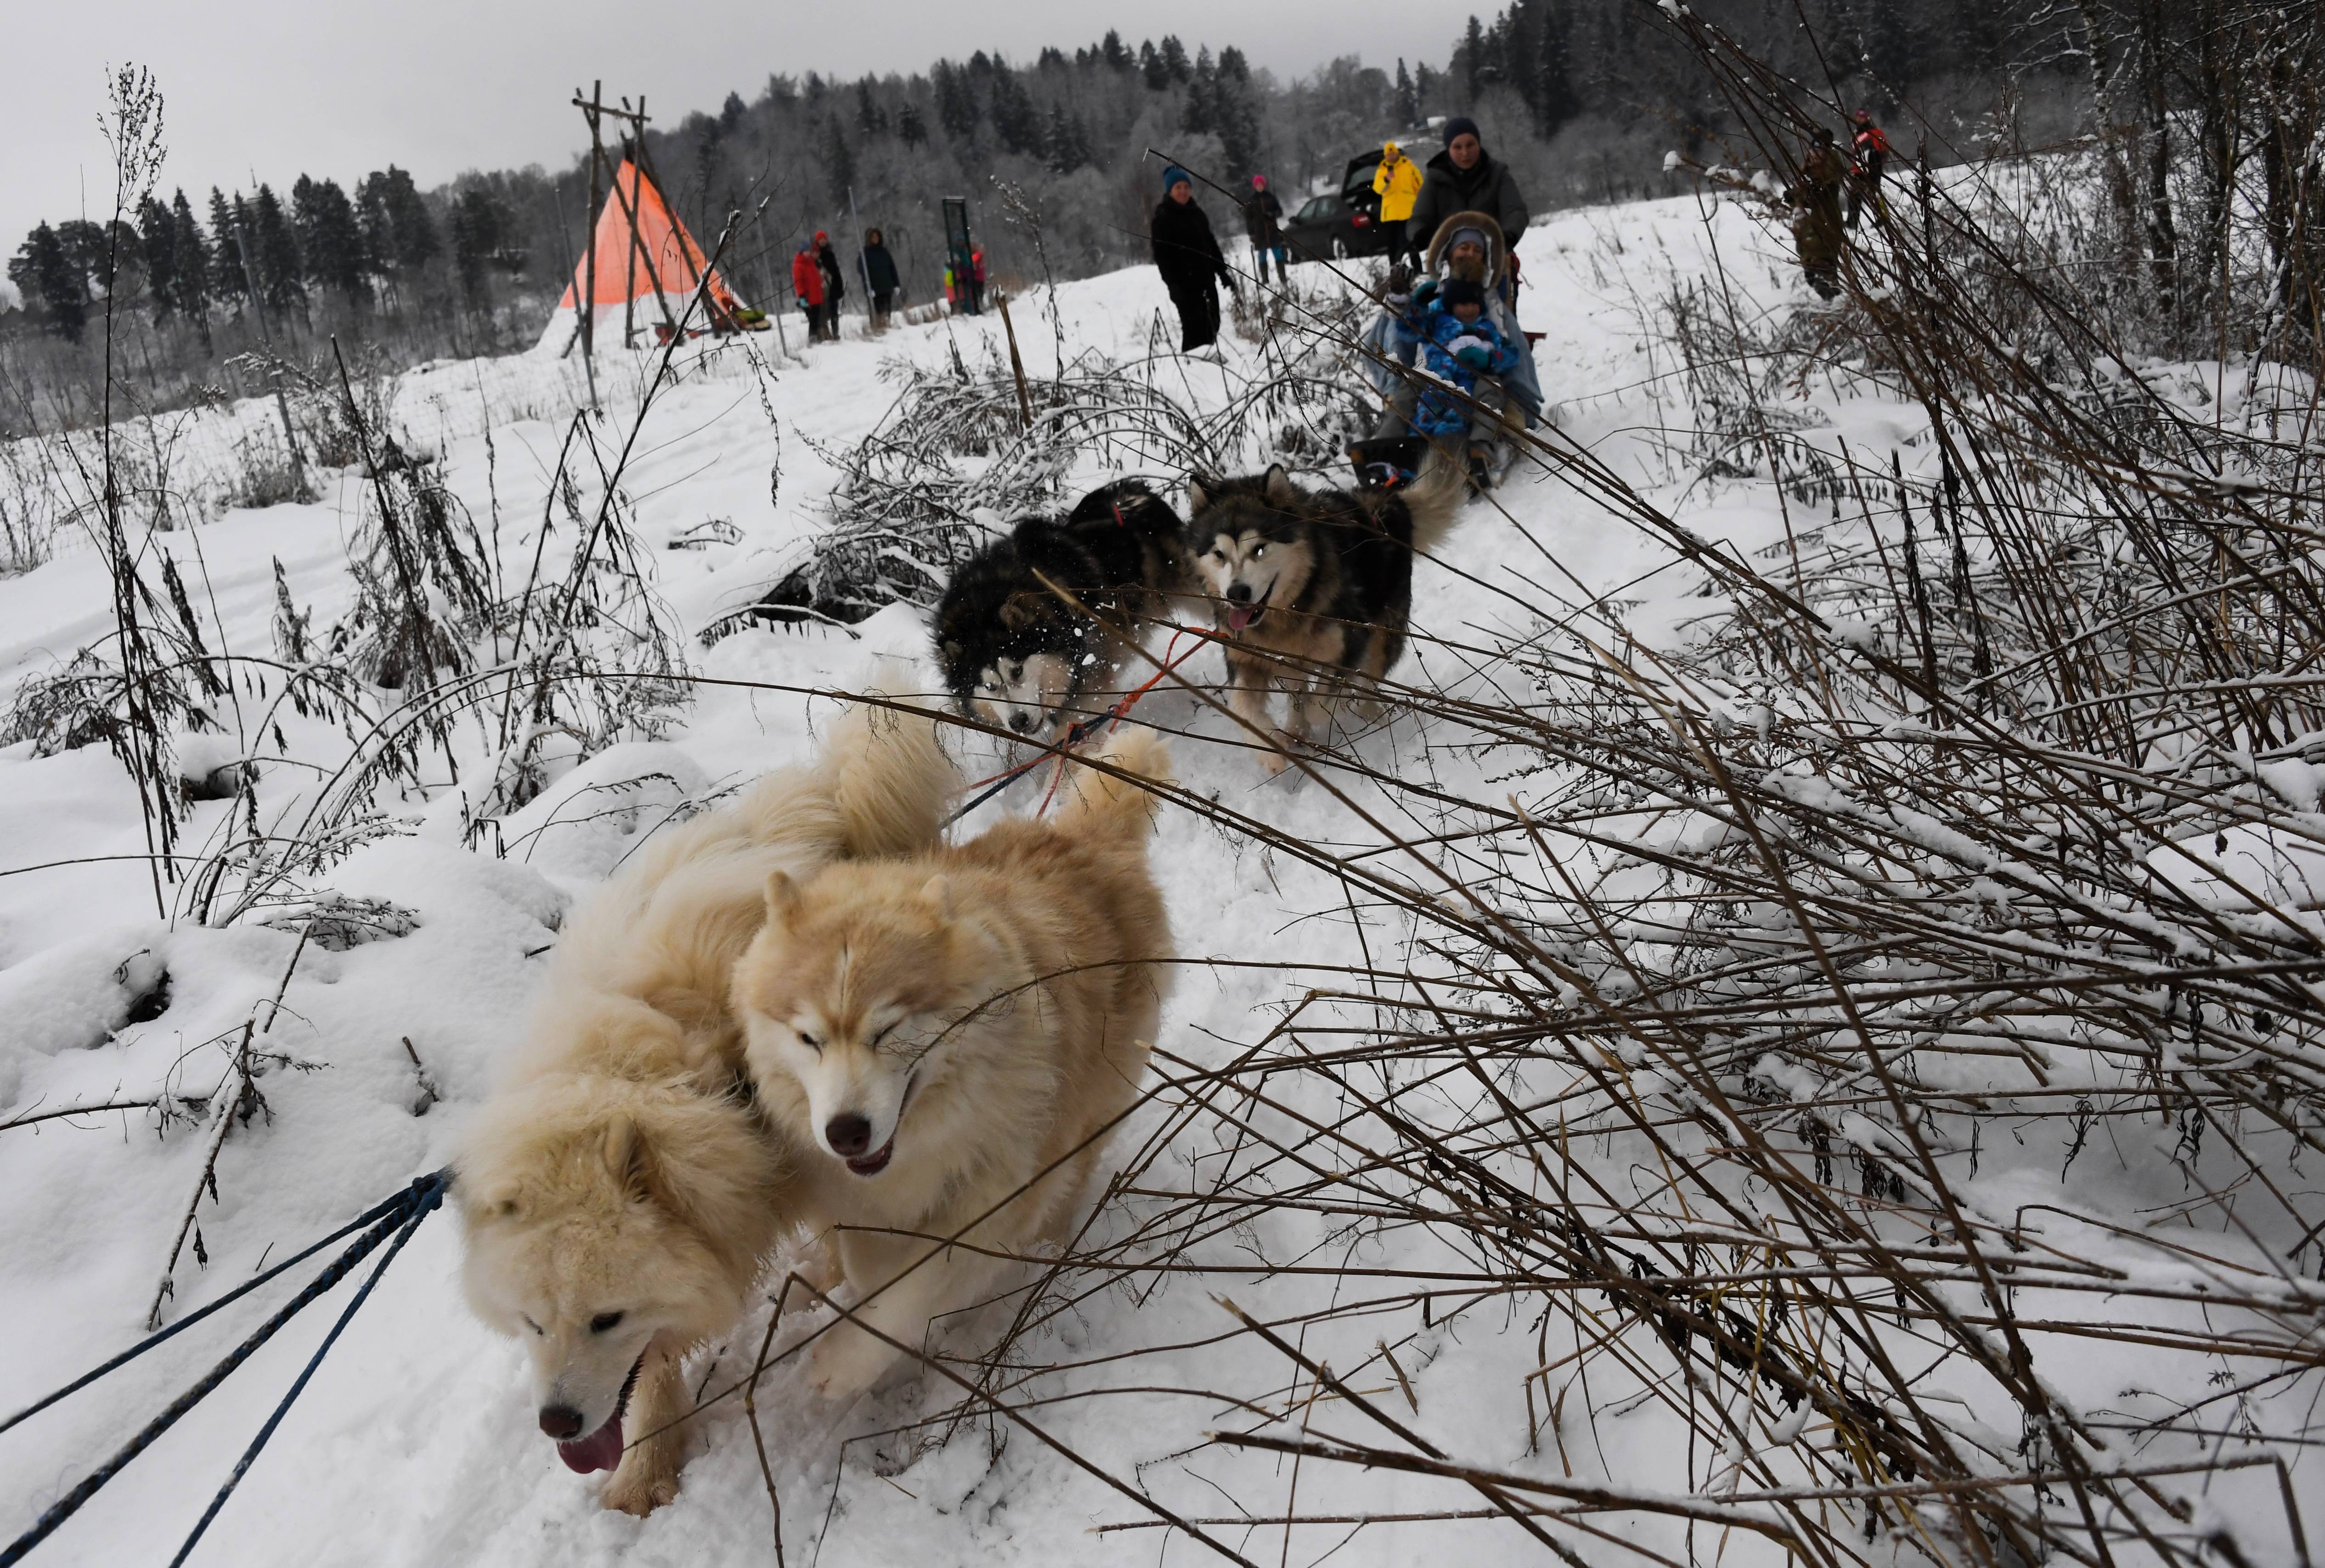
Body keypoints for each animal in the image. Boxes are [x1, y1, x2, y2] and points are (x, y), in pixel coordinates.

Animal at [453, 702, 953, 1507]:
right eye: (532, 1322)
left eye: (605, 1318)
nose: (557, 1424)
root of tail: (822, 795)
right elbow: (653, 1371)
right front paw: (647, 1470)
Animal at [734, 726, 1181, 1396]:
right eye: (808, 1038)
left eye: (887, 1029)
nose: (846, 1132)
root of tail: (1085, 837)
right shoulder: (851, 1198)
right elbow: (868, 1260)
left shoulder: (994, 1196)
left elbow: (913, 1291)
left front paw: (846, 1362)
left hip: (1090, 1110)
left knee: (1070, 1179)